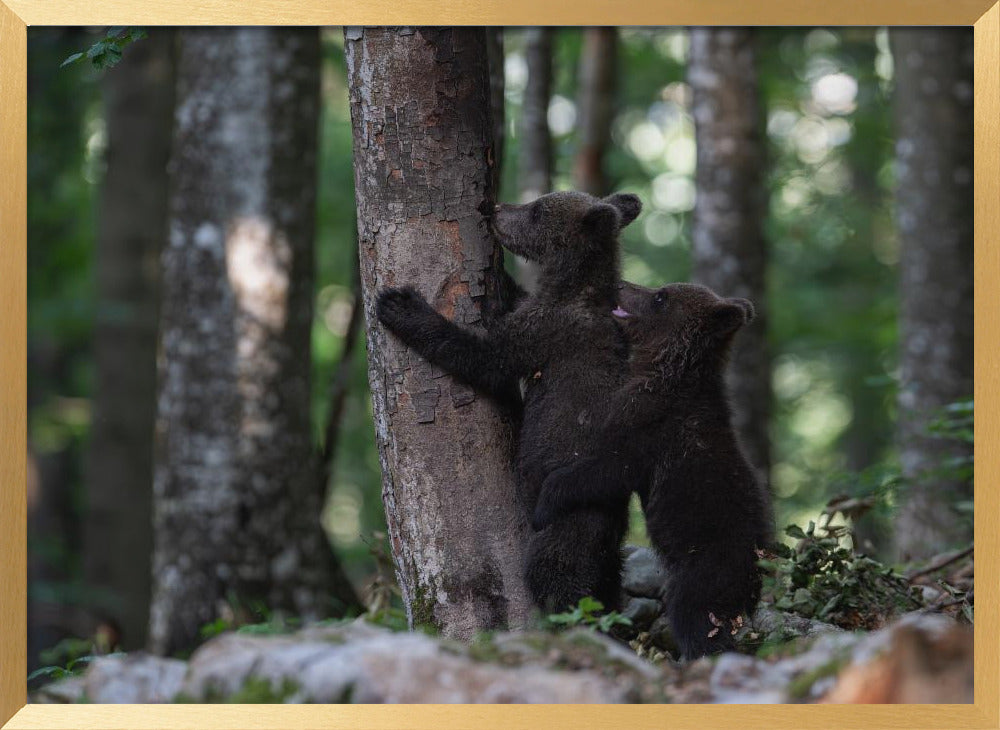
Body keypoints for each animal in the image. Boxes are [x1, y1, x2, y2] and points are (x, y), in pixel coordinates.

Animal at [376, 190, 642, 614]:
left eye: (537, 210)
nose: (496, 209)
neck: (571, 287)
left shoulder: (544, 332)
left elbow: (486, 358)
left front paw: (401, 305)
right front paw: (501, 278)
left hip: (569, 518)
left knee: (558, 575)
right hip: (608, 548)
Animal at [531, 282, 774, 659]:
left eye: (661, 296)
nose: (621, 284)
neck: (663, 371)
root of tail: (755, 578)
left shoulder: (648, 428)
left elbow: (605, 470)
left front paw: (545, 502)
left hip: (706, 565)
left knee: (694, 615)